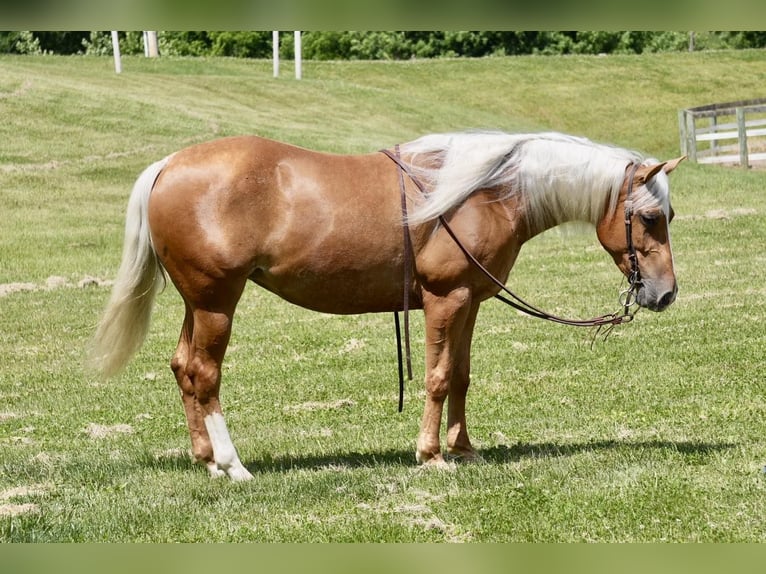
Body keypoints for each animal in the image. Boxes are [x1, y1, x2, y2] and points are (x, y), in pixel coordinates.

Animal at [90, 130, 684, 482]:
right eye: (650, 217)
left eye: (666, 216)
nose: (665, 293)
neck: (484, 193)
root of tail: (168, 165)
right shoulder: (446, 300)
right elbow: (439, 377)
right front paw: (432, 455)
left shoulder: (470, 302)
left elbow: (461, 375)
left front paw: (464, 448)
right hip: (217, 302)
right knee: (204, 374)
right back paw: (233, 465)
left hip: (198, 304)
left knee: (182, 368)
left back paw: (207, 461)